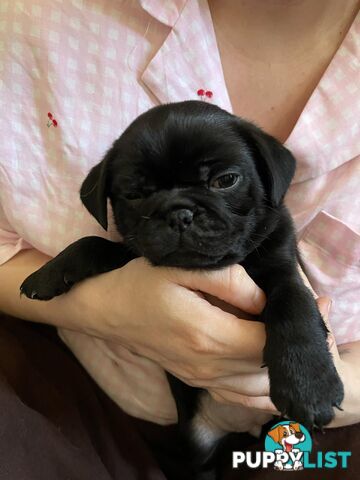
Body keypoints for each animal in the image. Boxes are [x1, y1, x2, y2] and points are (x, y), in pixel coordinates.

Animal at [20, 99, 344, 470]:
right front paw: (48, 273)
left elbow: (294, 306)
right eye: (134, 194)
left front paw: (309, 386)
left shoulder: (283, 270)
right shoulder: (131, 253)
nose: (178, 213)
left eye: (225, 180)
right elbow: (94, 242)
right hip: (196, 445)